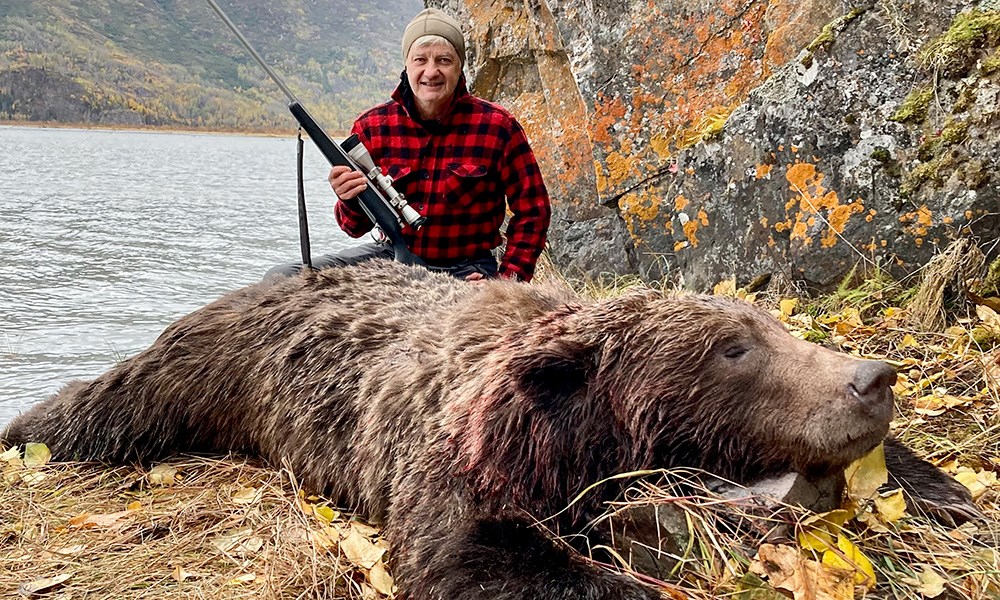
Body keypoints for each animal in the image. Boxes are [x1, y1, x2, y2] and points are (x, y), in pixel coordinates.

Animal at [1, 260, 976, 596]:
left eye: (774, 326)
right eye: (732, 350)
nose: (872, 379)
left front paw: (944, 488)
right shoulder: (451, 460)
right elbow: (472, 556)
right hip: (202, 362)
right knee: (109, 399)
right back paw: (28, 426)